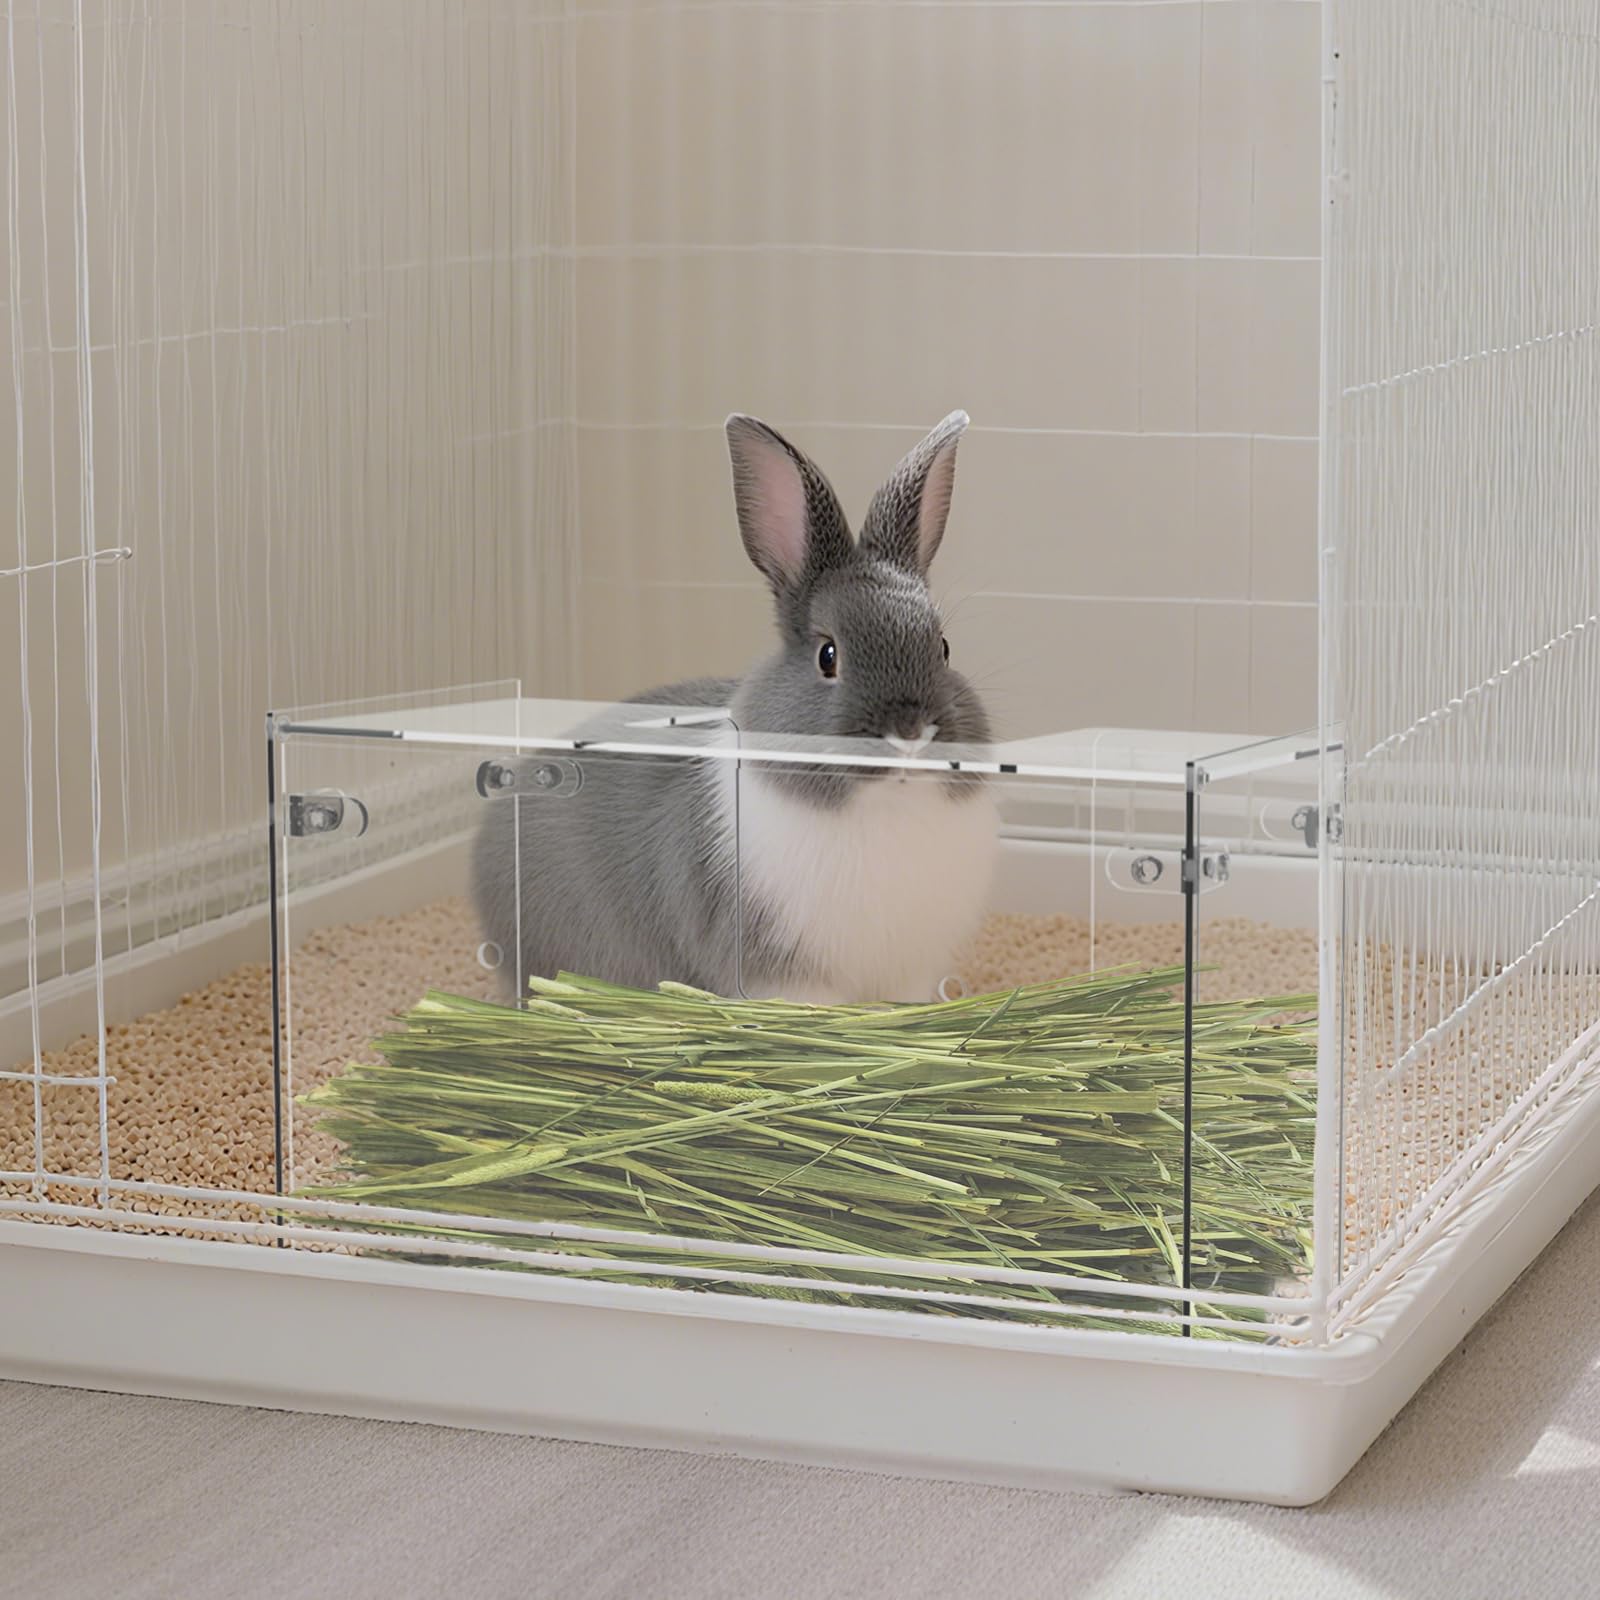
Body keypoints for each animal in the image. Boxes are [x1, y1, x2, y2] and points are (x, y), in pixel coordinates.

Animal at [471, 410, 998, 1006]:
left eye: (944, 648)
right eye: (828, 655)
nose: (909, 732)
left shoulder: (910, 973)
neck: (886, 808)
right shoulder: (783, 975)